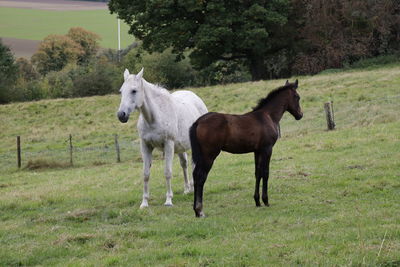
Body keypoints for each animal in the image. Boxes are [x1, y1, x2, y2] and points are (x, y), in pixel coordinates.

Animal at [117, 68, 208, 208]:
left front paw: (168, 200)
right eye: (121, 91)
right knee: (184, 164)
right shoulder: (145, 146)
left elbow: (167, 172)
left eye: (134, 90)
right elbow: (145, 174)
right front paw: (144, 203)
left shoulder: (168, 144)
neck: (154, 117)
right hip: (180, 148)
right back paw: (188, 189)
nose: (121, 115)